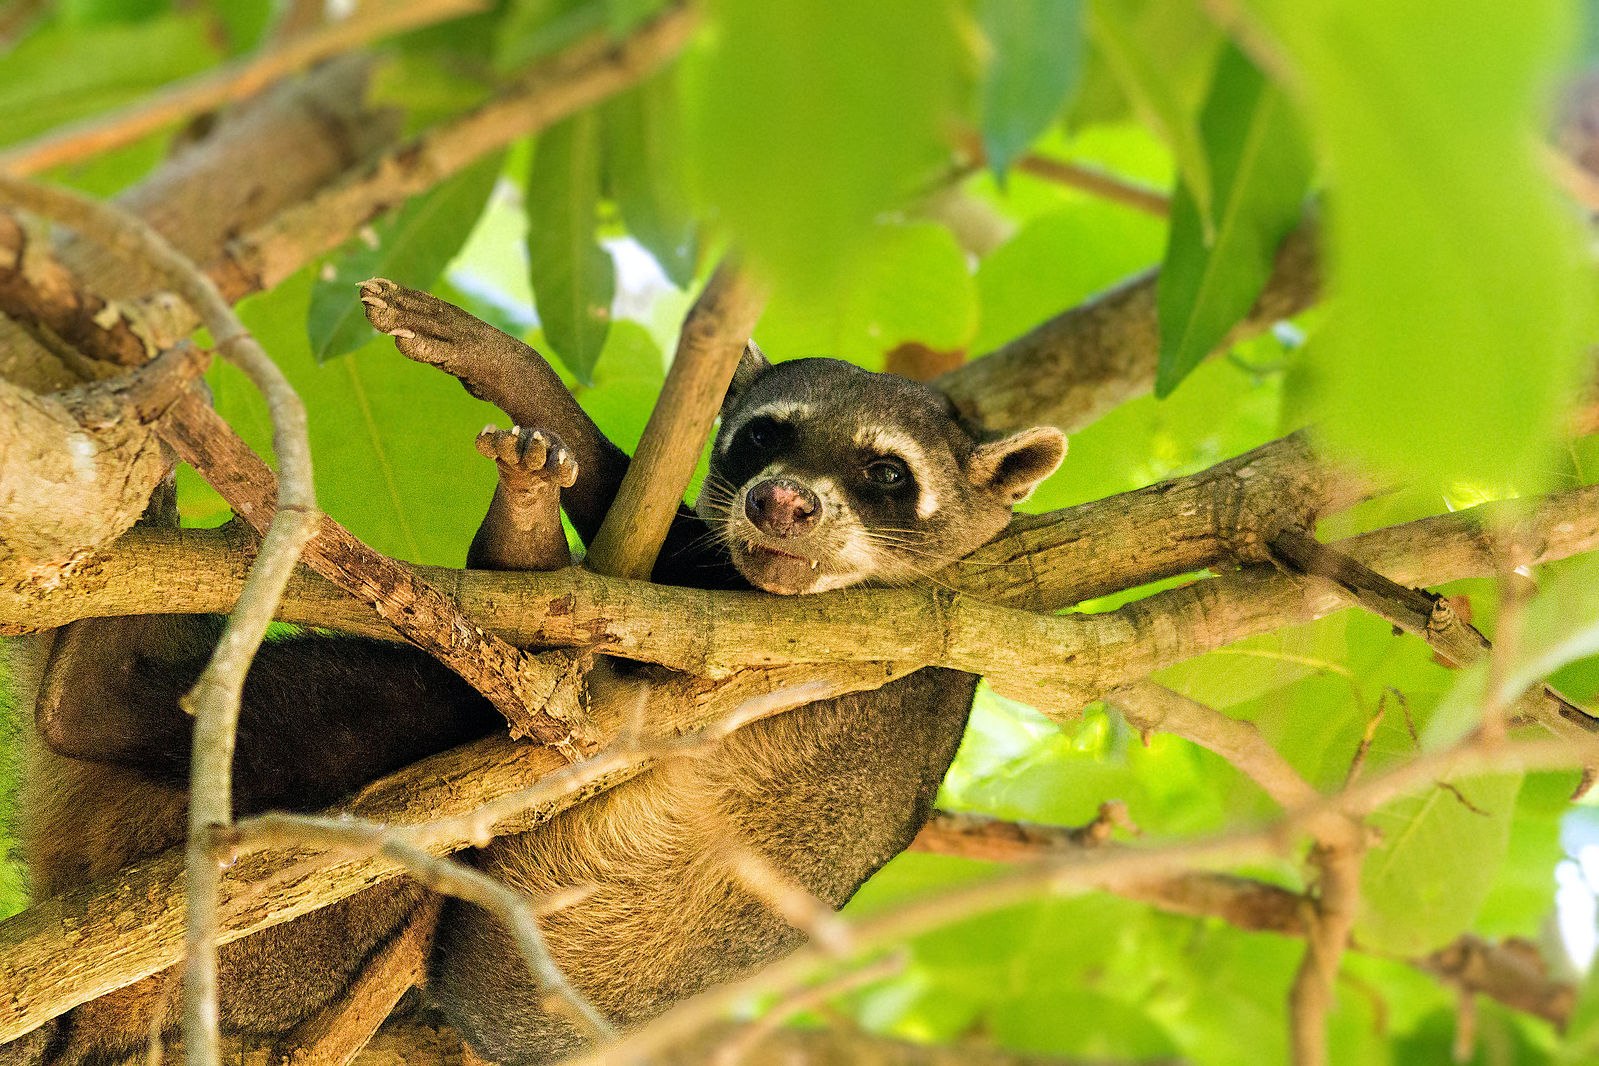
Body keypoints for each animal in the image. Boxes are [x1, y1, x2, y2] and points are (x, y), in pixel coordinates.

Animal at [9, 282, 1074, 1066]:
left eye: (886, 473)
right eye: (765, 435)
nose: (781, 504)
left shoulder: (824, 648)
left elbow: (617, 642)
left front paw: (522, 382)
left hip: (314, 946)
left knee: (421, 716)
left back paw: (96, 694)